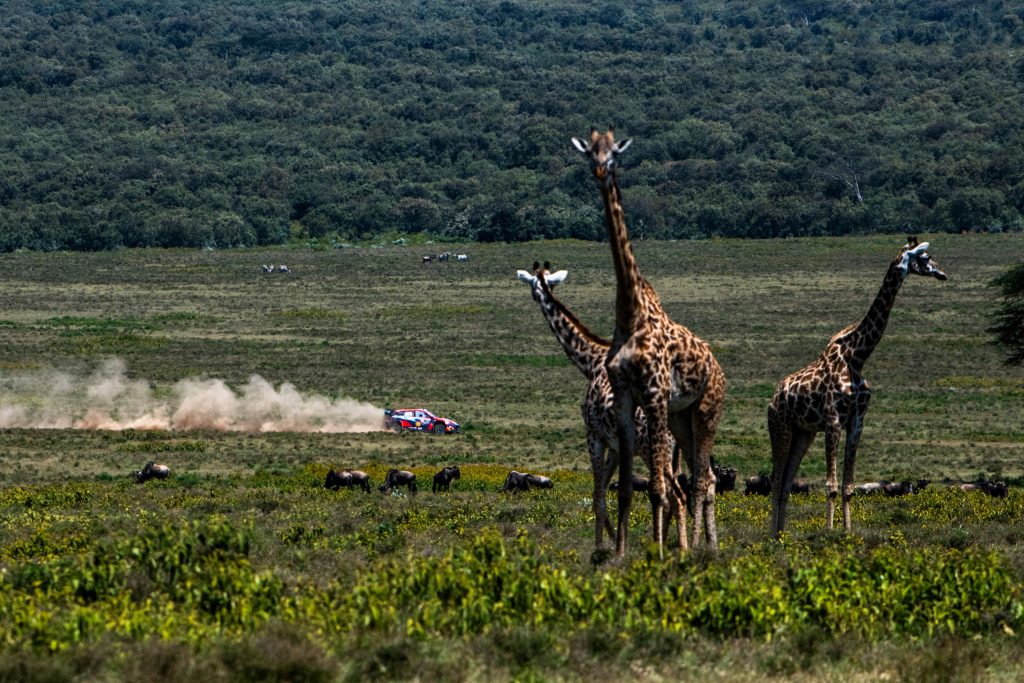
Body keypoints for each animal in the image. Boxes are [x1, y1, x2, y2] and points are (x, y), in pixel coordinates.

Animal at [516, 259, 667, 548]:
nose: (534, 297)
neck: (590, 360)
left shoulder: (594, 435)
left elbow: (599, 498)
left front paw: (604, 547)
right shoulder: (617, 447)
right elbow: (610, 494)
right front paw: (618, 542)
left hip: (650, 448)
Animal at [573, 126, 724, 557]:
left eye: (616, 153)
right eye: (589, 151)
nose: (600, 170)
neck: (630, 314)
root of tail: (717, 366)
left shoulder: (654, 396)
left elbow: (656, 489)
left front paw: (658, 553)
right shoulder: (626, 400)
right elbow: (625, 489)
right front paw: (620, 554)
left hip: (706, 411)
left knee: (700, 481)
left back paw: (700, 549)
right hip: (680, 418)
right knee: (698, 477)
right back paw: (703, 545)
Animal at [770, 237, 950, 536]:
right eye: (924, 258)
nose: (942, 273)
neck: (857, 356)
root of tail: (772, 399)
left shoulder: (856, 422)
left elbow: (848, 486)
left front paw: (847, 533)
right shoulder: (833, 421)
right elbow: (830, 486)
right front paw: (829, 533)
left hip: (803, 433)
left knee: (785, 482)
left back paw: (781, 536)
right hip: (780, 427)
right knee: (775, 481)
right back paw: (772, 536)